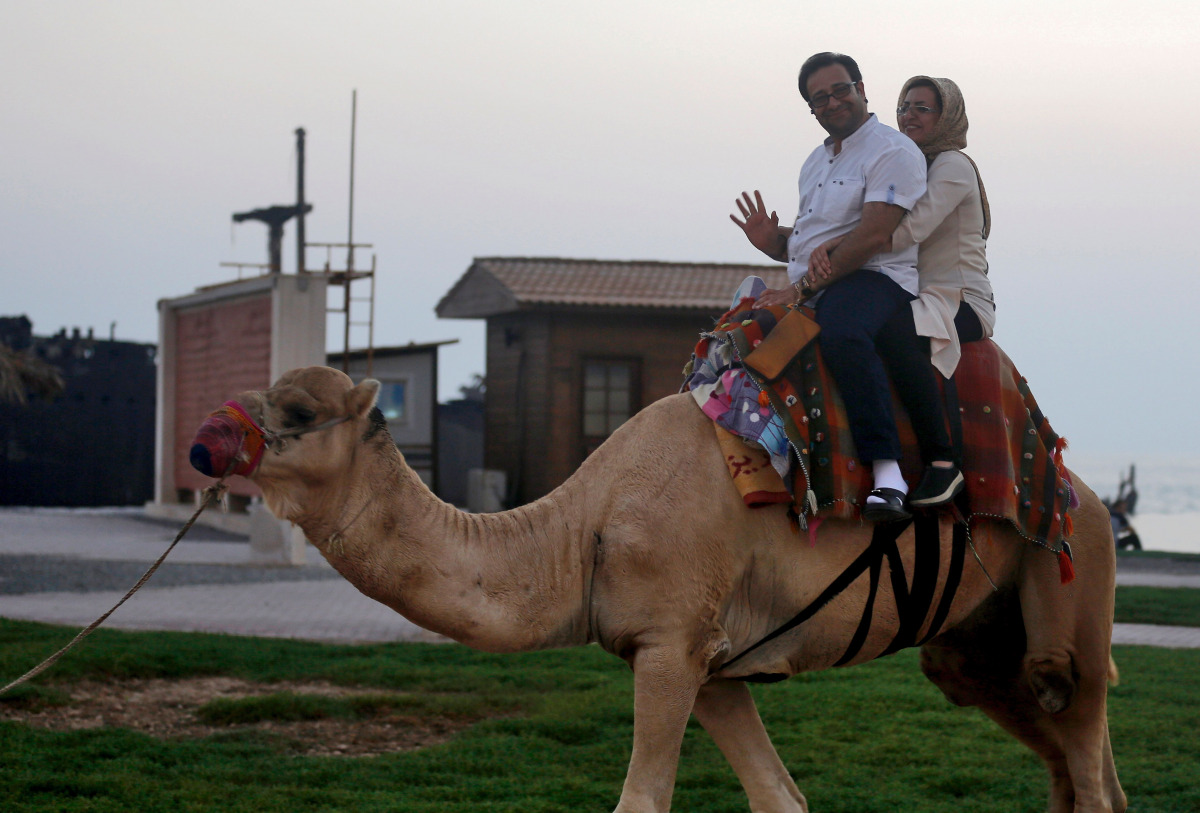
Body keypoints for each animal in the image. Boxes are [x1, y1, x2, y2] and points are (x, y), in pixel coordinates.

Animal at [189, 366, 1126, 813]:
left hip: (1070, 597)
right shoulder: (713, 667)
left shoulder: (671, 647)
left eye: (298, 413)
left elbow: (642, 797)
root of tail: (1083, 491)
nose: (206, 438)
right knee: (1067, 764)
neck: (584, 529)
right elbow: (780, 795)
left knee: (1083, 749)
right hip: (975, 647)